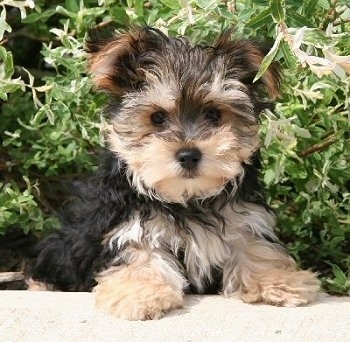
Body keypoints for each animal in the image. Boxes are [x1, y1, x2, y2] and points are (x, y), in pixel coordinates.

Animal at [27, 27, 320, 320]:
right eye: (157, 117)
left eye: (214, 114)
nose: (189, 154)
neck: (188, 200)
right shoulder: (131, 225)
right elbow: (140, 256)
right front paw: (140, 294)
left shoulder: (243, 218)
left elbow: (254, 247)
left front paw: (279, 280)